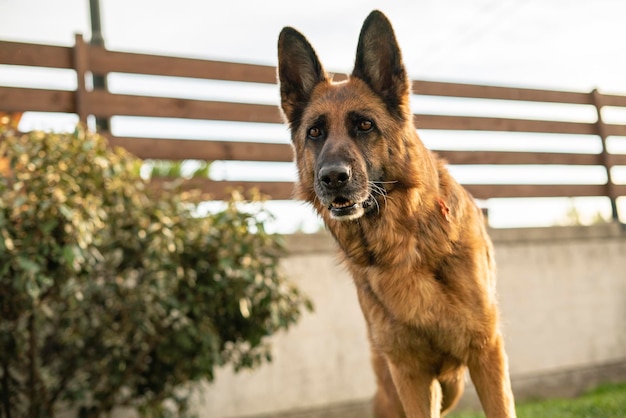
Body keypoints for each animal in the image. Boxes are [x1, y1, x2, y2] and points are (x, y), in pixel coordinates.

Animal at [276, 9, 516, 418]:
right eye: (315, 133)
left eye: (365, 125)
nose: (333, 178)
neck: (401, 245)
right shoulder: (410, 376)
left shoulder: (486, 354)